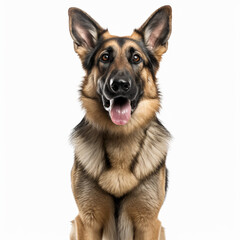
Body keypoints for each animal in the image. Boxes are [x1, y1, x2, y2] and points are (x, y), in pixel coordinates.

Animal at [68, 5, 172, 240]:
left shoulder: (148, 223)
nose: (120, 85)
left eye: (136, 59)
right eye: (105, 57)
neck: (120, 139)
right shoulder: (87, 222)